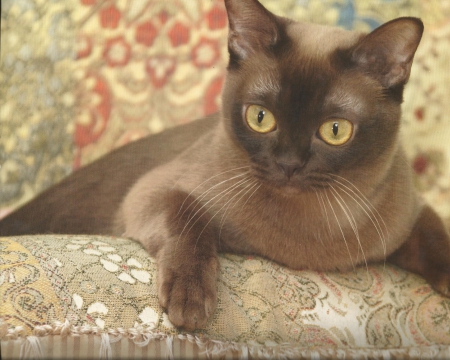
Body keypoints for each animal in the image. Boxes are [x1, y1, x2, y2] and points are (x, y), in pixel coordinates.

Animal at [0, 0, 450, 332]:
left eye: (335, 130)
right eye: (260, 118)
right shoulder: (153, 191)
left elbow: (437, 237)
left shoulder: (411, 214)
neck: (304, 243)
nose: (288, 164)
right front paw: (190, 304)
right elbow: (189, 217)